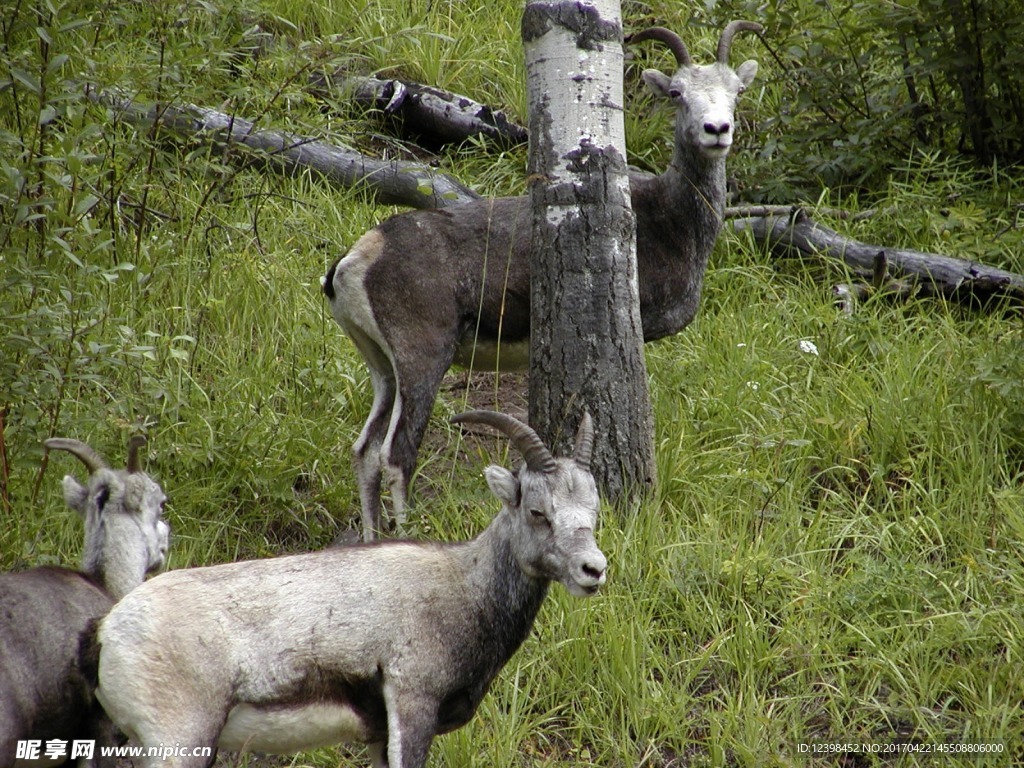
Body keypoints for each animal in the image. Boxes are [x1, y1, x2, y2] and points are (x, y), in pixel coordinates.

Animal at [95, 411, 602, 768]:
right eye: (538, 511)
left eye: (594, 509)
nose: (593, 569)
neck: (463, 587)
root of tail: (108, 632)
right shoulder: (412, 708)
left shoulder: (379, 735)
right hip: (180, 744)